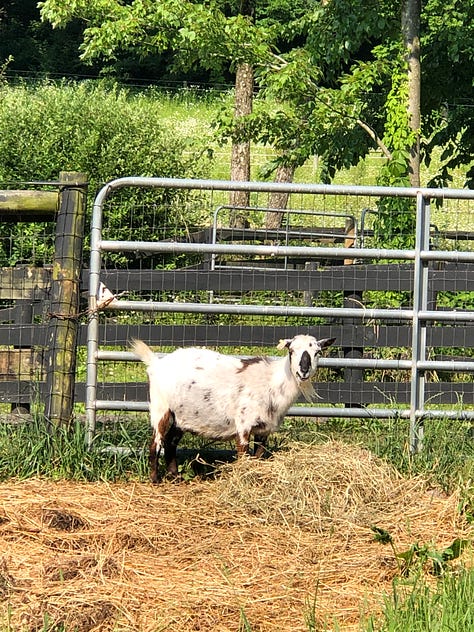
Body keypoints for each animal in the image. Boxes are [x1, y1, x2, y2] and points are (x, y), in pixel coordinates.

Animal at [131, 334, 336, 482]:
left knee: (170, 442)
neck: (272, 382)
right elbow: (243, 457)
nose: (304, 370)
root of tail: (155, 363)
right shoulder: (244, 425)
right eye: (291, 350)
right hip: (161, 408)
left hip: (181, 416)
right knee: (155, 443)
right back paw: (155, 479)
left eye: (317, 352)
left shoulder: (264, 430)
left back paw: (175, 476)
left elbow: (257, 457)